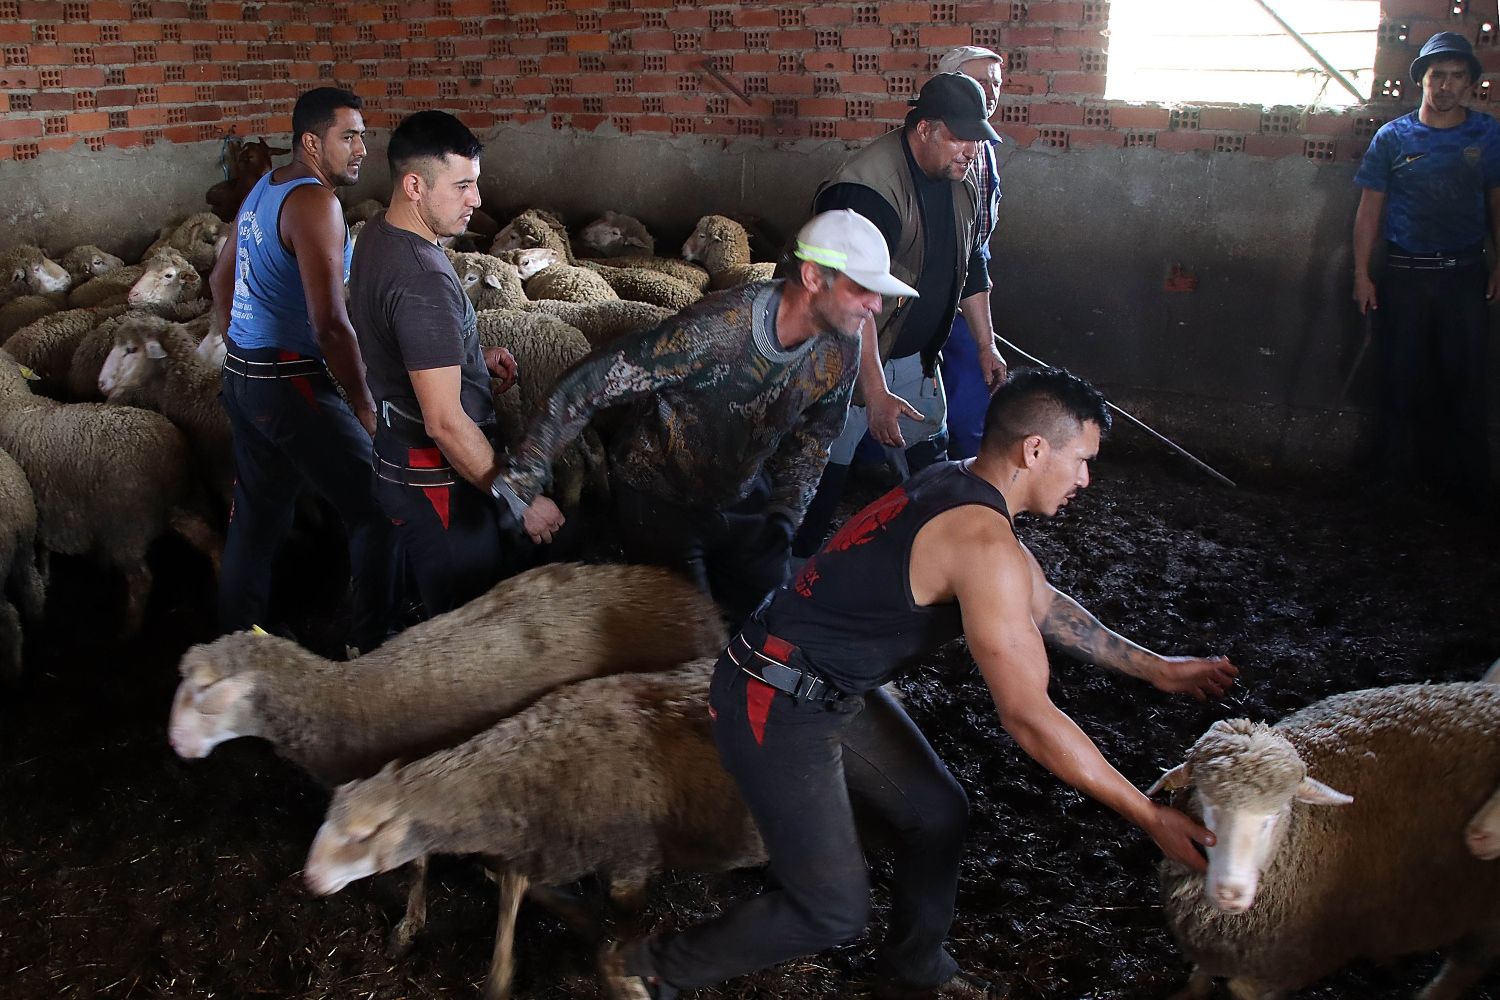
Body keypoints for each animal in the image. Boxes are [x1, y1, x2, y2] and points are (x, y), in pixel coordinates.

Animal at [0, 347, 222, 638]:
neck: (12, 401)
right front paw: (47, 575)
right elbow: (44, 550)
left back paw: (128, 631)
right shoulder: (44, 507)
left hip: (125, 530)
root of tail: (170, 459)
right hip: (189, 504)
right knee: (213, 543)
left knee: (141, 580)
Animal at [303, 659, 762, 1000]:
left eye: (364, 833)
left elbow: (619, 933)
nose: (309, 879)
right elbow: (510, 893)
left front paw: (624, 976)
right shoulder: (535, 841)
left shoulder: (630, 861)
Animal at [1146, 680, 1500, 1000]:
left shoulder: (1284, 969)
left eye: (1275, 815)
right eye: (1208, 804)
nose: (1231, 894)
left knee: (1463, 968)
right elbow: (1200, 975)